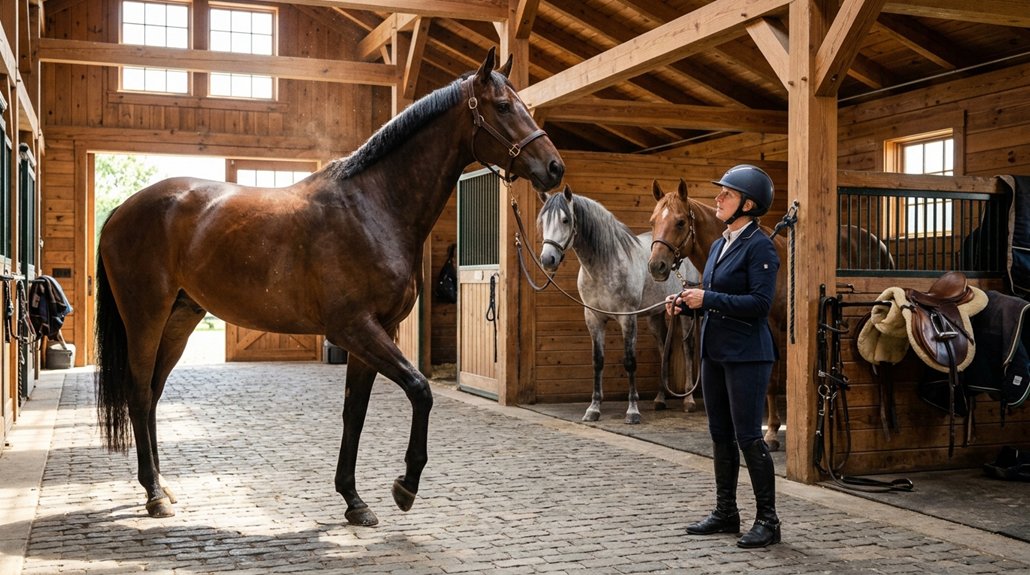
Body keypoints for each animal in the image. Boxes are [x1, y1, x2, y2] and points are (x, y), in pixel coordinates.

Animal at [94, 48, 564, 526]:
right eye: (503, 107)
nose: (554, 167)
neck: (373, 206)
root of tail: (119, 212)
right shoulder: (355, 328)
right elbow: (420, 389)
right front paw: (405, 486)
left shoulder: (376, 333)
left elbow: (354, 412)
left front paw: (354, 500)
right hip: (146, 318)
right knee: (138, 393)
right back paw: (153, 494)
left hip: (180, 319)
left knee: (153, 394)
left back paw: (162, 486)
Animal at [537, 184, 701, 424]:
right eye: (542, 221)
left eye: (565, 220)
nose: (547, 260)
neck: (604, 266)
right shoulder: (593, 318)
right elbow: (597, 361)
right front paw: (593, 408)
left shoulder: (628, 318)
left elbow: (630, 361)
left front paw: (632, 411)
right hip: (655, 315)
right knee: (664, 349)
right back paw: (660, 399)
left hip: (685, 312)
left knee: (688, 349)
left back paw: (689, 401)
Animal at [647, 179, 894, 450]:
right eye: (653, 221)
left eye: (681, 222)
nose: (656, 266)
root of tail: (877, 242)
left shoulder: (773, 328)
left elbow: (770, 382)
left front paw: (772, 432)